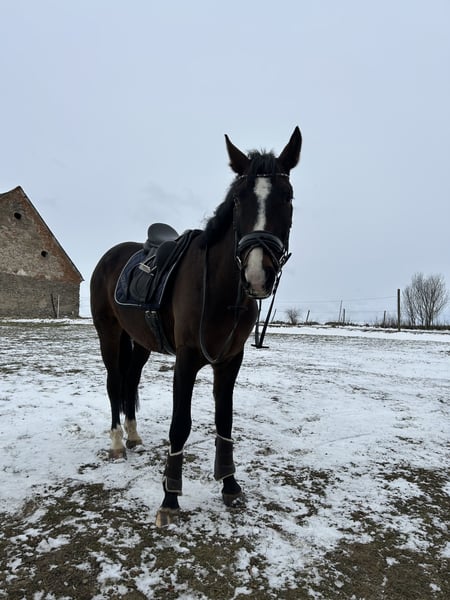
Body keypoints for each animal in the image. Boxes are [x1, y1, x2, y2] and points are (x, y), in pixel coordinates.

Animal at [90, 127, 302, 526]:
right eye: (237, 199)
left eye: (287, 197)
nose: (258, 274)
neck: (217, 288)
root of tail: (111, 255)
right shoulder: (186, 360)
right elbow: (181, 425)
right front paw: (169, 499)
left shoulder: (230, 361)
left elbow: (224, 420)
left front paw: (230, 484)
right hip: (108, 334)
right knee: (113, 383)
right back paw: (117, 443)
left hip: (140, 343)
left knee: (130, 380)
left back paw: (133, 436)